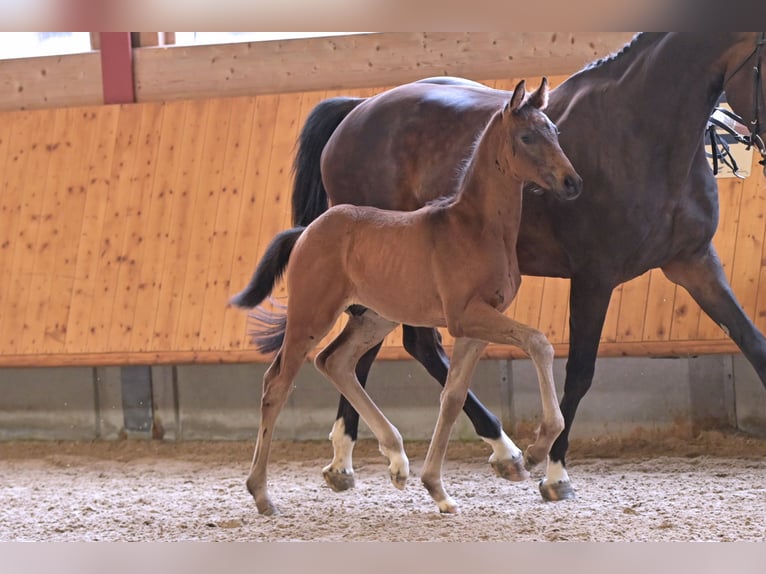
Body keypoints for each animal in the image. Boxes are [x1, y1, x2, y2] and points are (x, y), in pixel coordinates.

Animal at [232, 79, 584, 516]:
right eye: (527, 137)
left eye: (554, 131)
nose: (572, 182)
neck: (474, 227)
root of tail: (307, 230)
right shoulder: (466, 316)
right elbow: (538, 342)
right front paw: (535, 450)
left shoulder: (478, 324)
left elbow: (452, 397)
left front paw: (438, 489)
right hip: (311, 316)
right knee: (277, 383)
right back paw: (262, 493)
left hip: (375, 317)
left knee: (335, 362)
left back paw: (395, 459)